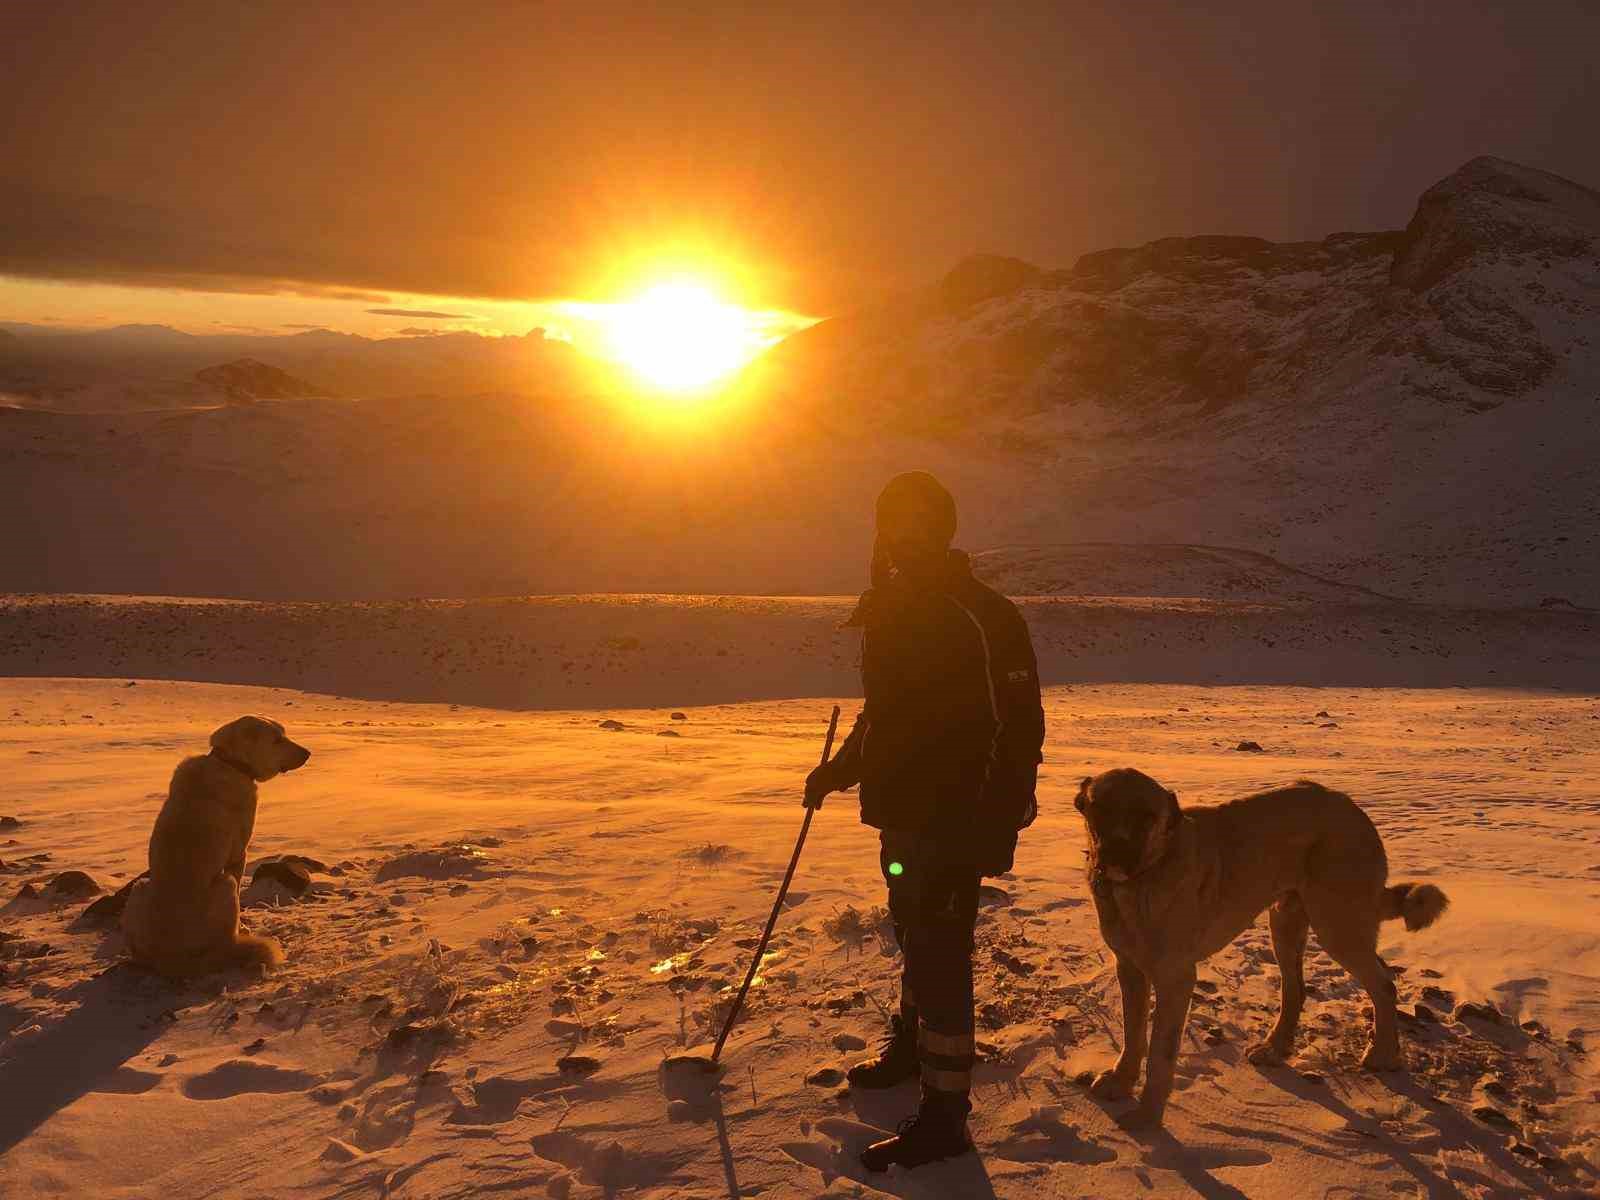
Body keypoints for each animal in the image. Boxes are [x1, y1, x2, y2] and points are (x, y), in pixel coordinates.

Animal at [123, 713, 310, 979]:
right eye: (277, 740)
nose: (308, 753)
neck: (229, 763)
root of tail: (171, 960)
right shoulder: (237, 855)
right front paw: (243, 926)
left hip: (141, 887)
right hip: (225, 883)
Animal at [1081, 771, 1446, 1126]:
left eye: (1146, 817)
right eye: (1099, 808)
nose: (1114, 854)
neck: (1143, 879)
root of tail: (1353, 809)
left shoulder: (1175, 979)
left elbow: (1160, 1053)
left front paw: (1148, 1116)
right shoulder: (1129, 969)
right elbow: (1132, 1034)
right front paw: (1121, 1081)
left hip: (1337, 925)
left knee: (1383, 983)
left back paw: (1383, 1054)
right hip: (1285, 923)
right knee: (1297, 988)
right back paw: (1275, 1047)